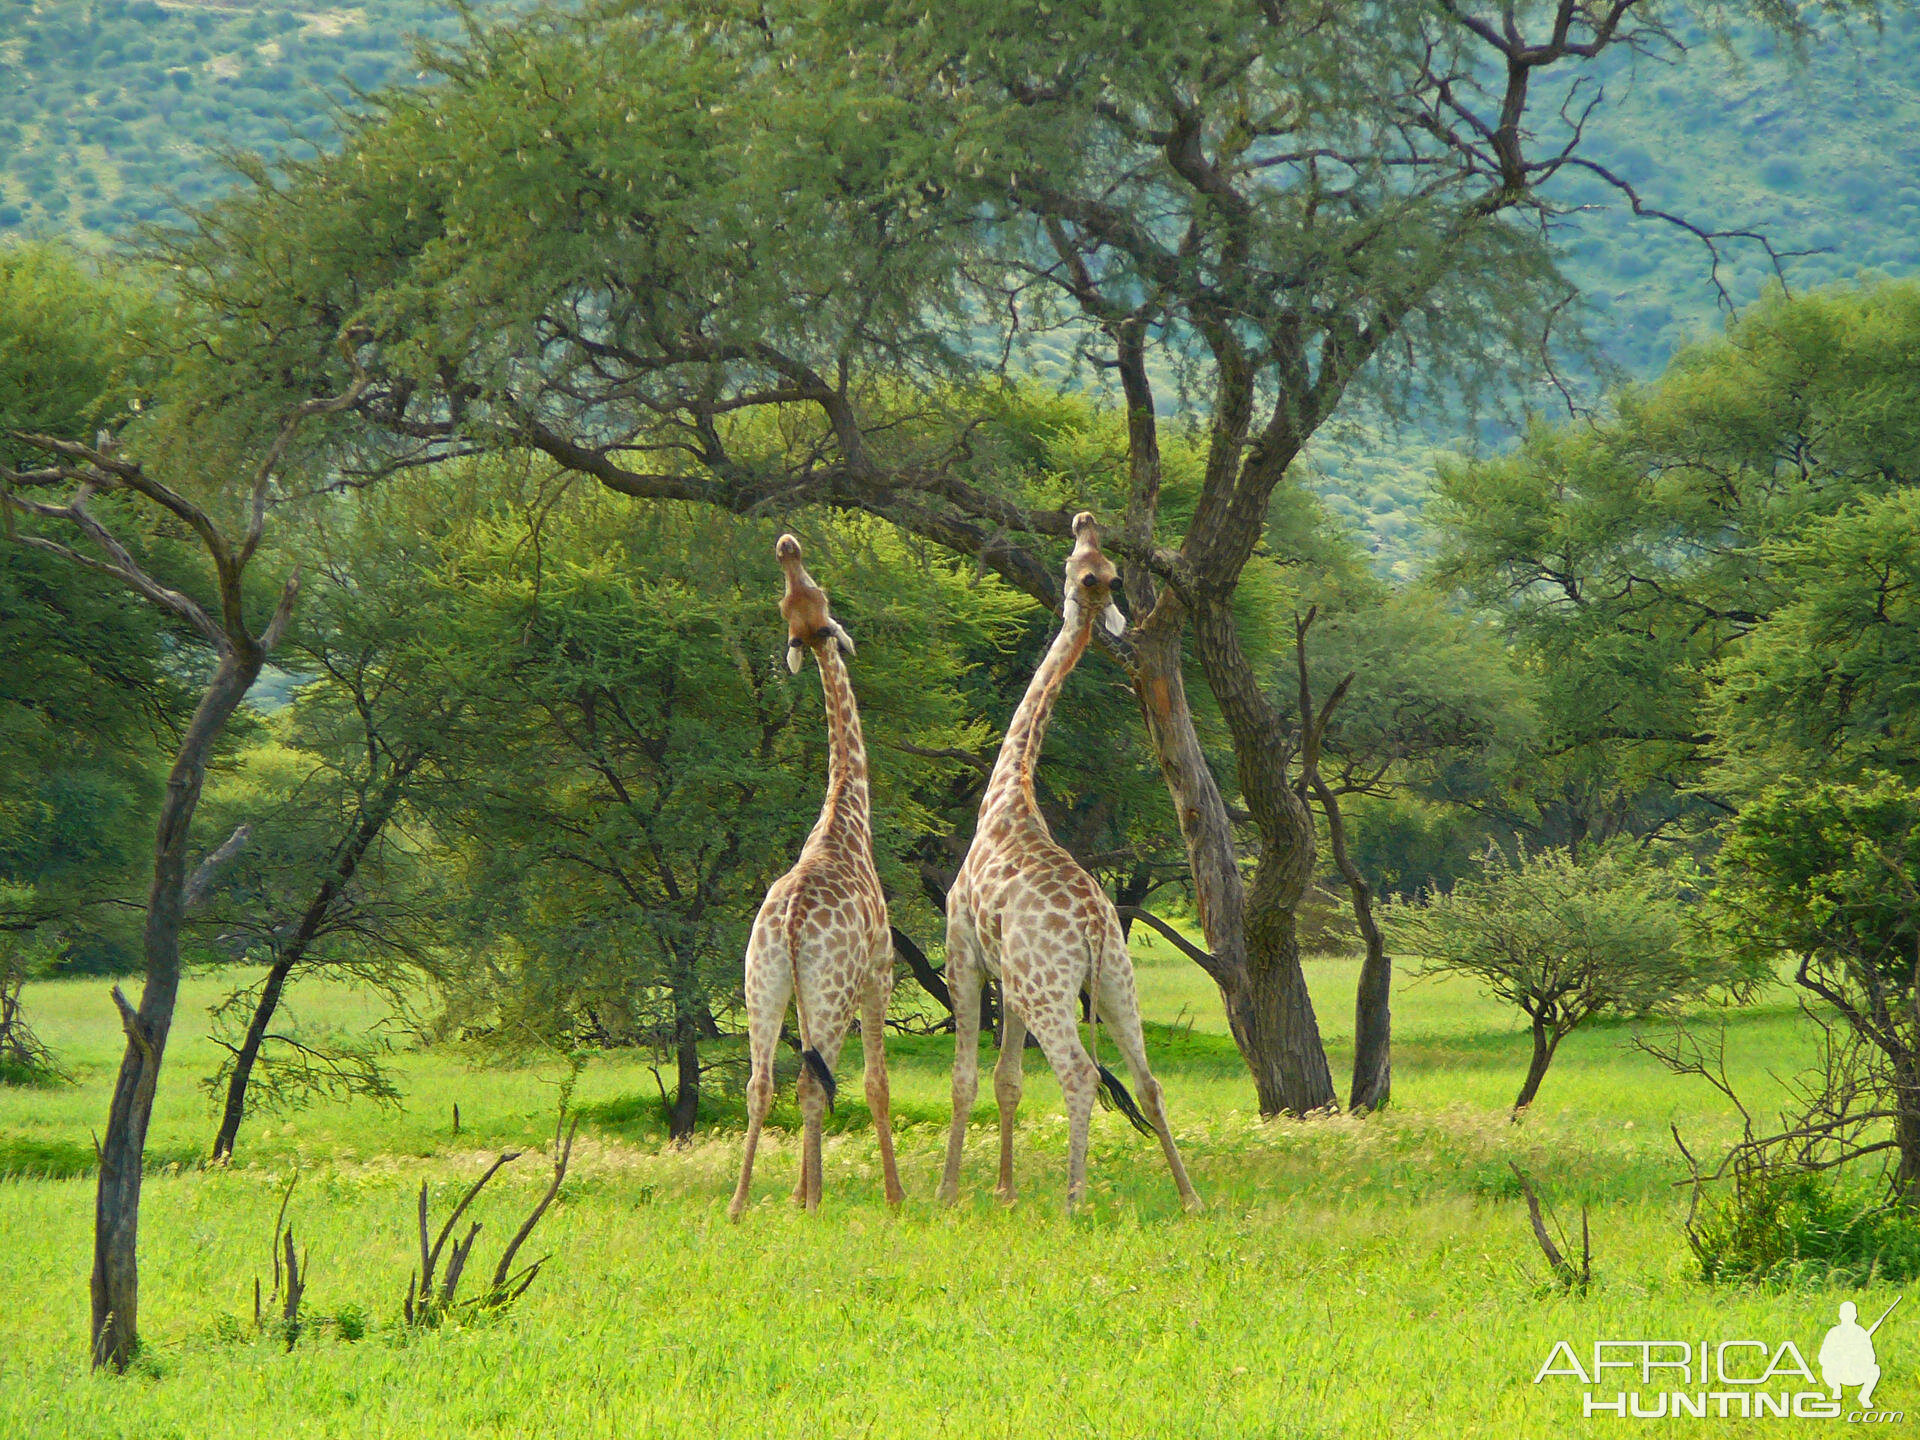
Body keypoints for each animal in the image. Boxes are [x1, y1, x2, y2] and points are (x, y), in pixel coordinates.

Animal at [725, 537, 906, 1221]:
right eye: (821, 594)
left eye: (802, 597)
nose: (787, 547)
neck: (845, 818)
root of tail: (793, 919)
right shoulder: (881, 970)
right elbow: (876, 1083)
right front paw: (893, 1195)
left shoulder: (804, 989)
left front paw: (803, 1187)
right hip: (832, 983)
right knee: (809, 1080)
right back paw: (812, 1206)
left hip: (765, 977)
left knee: (762, 1081)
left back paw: (740, 1204)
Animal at [933, 514, 1190, 1213]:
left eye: (1080, 564)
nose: (1081, 520)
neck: (1008, 794)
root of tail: (1098, 928)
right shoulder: (1009, 974)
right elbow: (1008, 1079)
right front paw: (1004, 1190)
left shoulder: (964, 950)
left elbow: (966, 1079)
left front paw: (950, 1191)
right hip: (1112, 980)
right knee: (1149, 1079)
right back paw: (1189, 1197)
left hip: (1049, 985)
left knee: (1079, 1072)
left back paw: (1074, 1199)